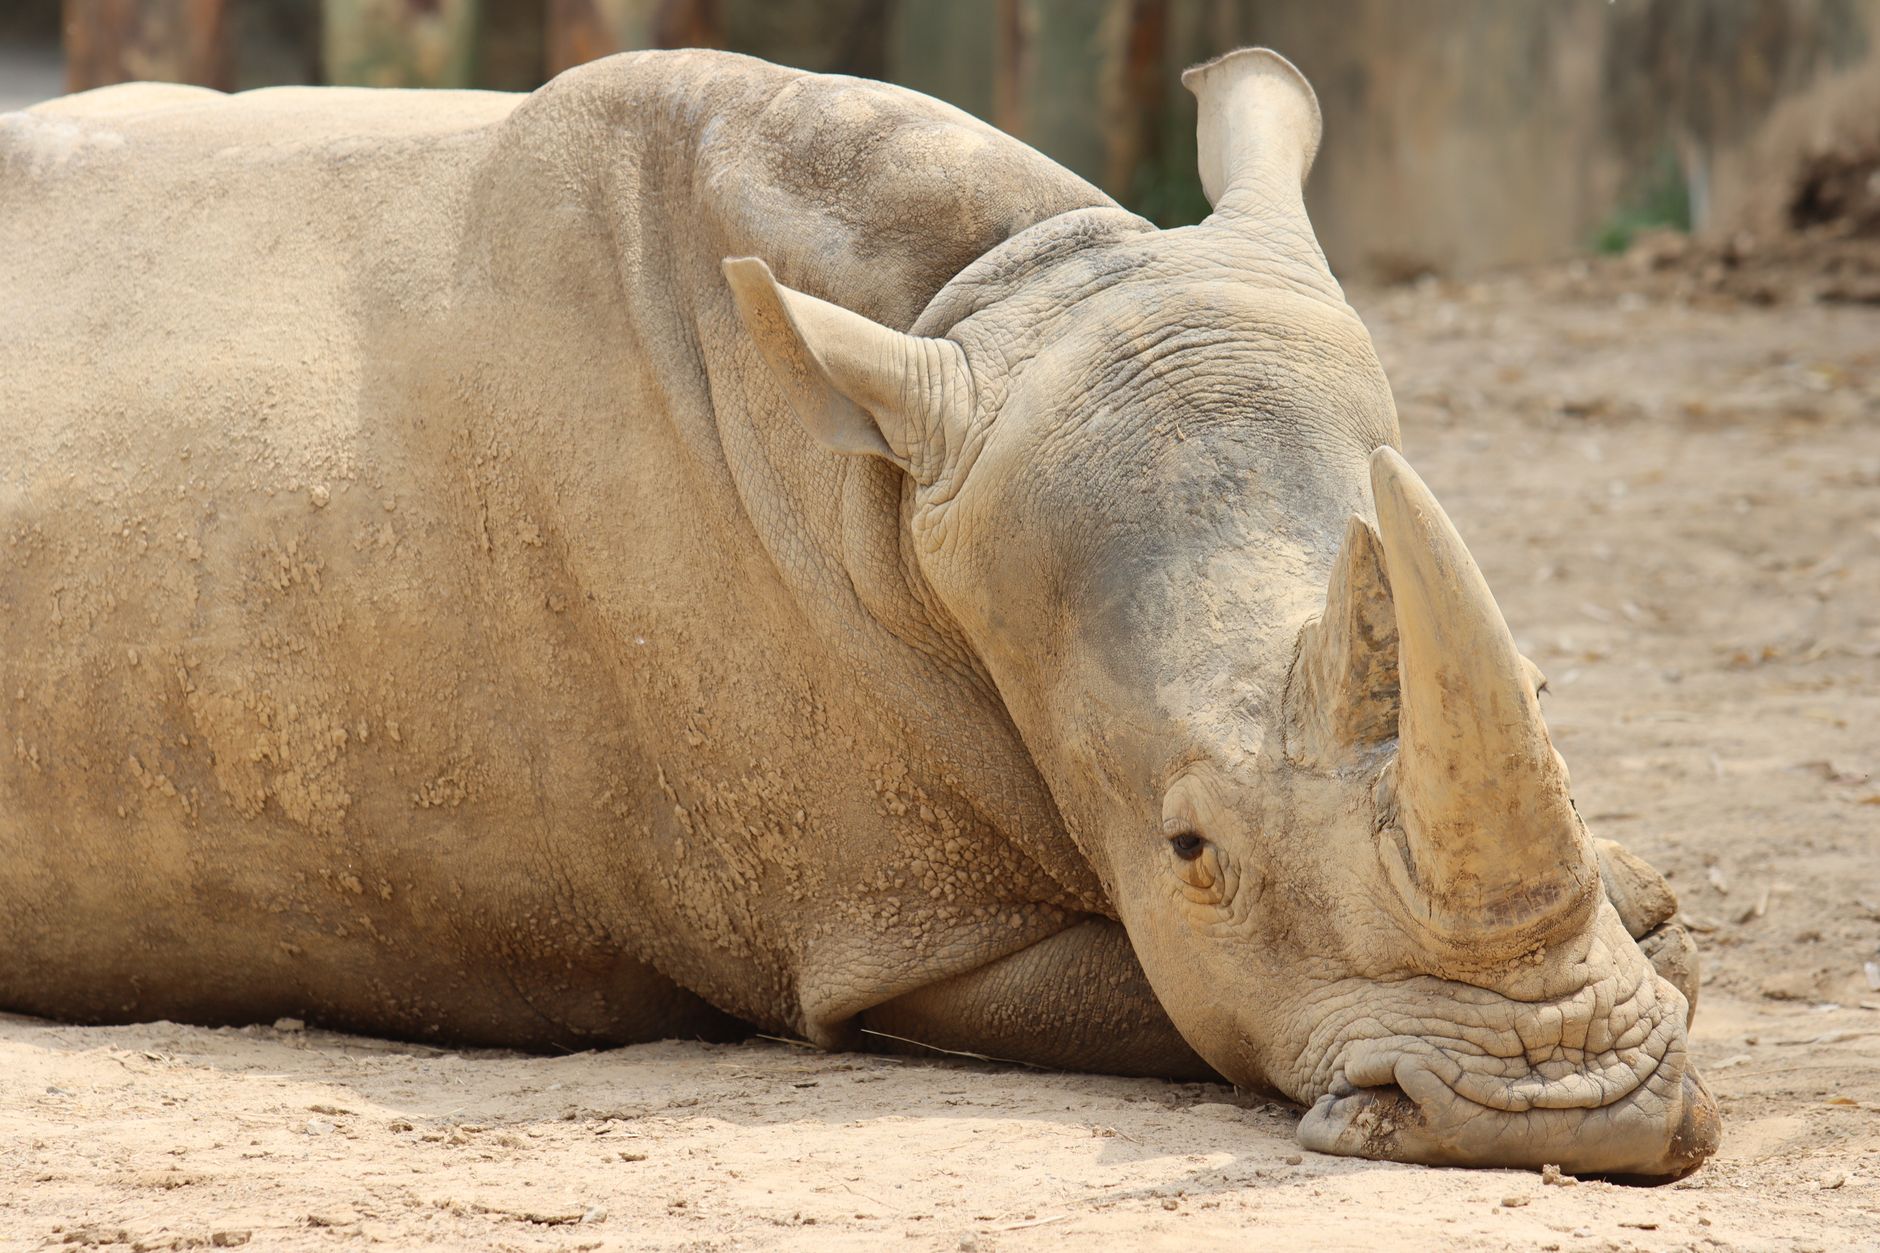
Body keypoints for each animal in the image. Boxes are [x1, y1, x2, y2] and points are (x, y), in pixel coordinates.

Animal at [0, 47, 1716, 1176]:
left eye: (1549, 702)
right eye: (1189, 851)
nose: (1574, 1114)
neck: (994, 293)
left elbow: (1647, 912)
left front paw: (1636, 908)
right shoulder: (894, 928)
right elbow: (1167, 996)